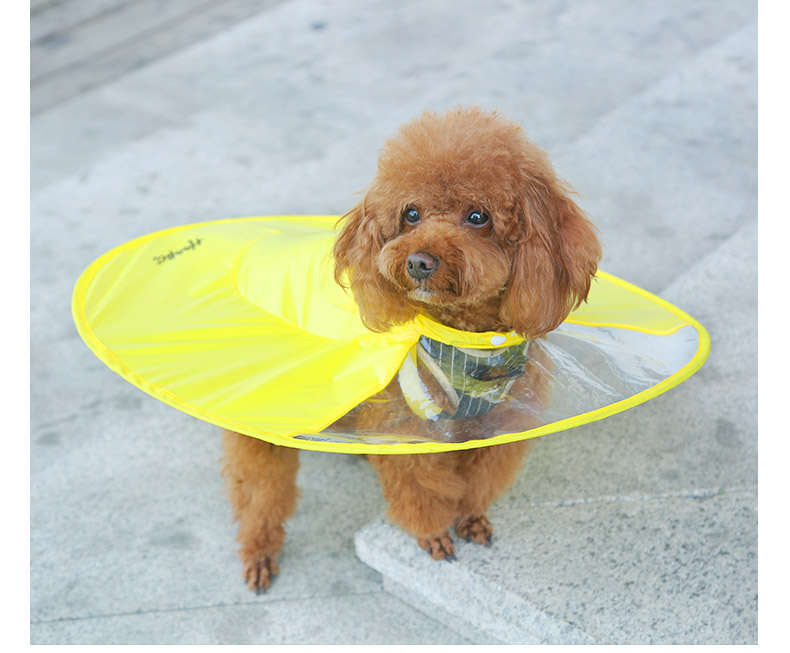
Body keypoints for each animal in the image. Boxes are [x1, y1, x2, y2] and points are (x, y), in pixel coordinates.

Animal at [220, 107, 604, 592]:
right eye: (411, 213)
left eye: (478, 215)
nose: (419, 262)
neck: (466, 341)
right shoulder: (411, 424)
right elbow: (421, 486)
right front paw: (433, 533)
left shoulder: (497, 422)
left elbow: (479, 478)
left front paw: (470, 517)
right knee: (257, 485)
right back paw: (259, 550)